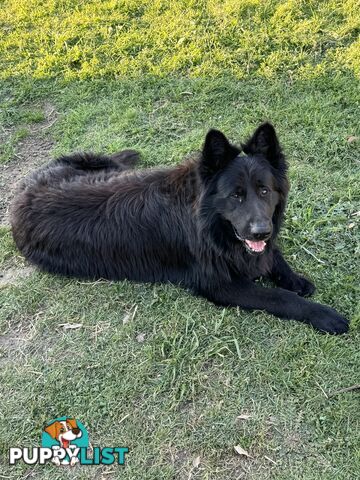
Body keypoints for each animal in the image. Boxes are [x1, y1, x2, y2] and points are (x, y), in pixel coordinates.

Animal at [10, 124, 348, 334]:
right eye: (236, 195)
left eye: (264, 191)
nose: (260, 232)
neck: (207, 221)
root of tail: (23, 188)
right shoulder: (224, 285)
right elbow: (281, 298)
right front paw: (323, 314)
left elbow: (273, 257)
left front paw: (295, 279)